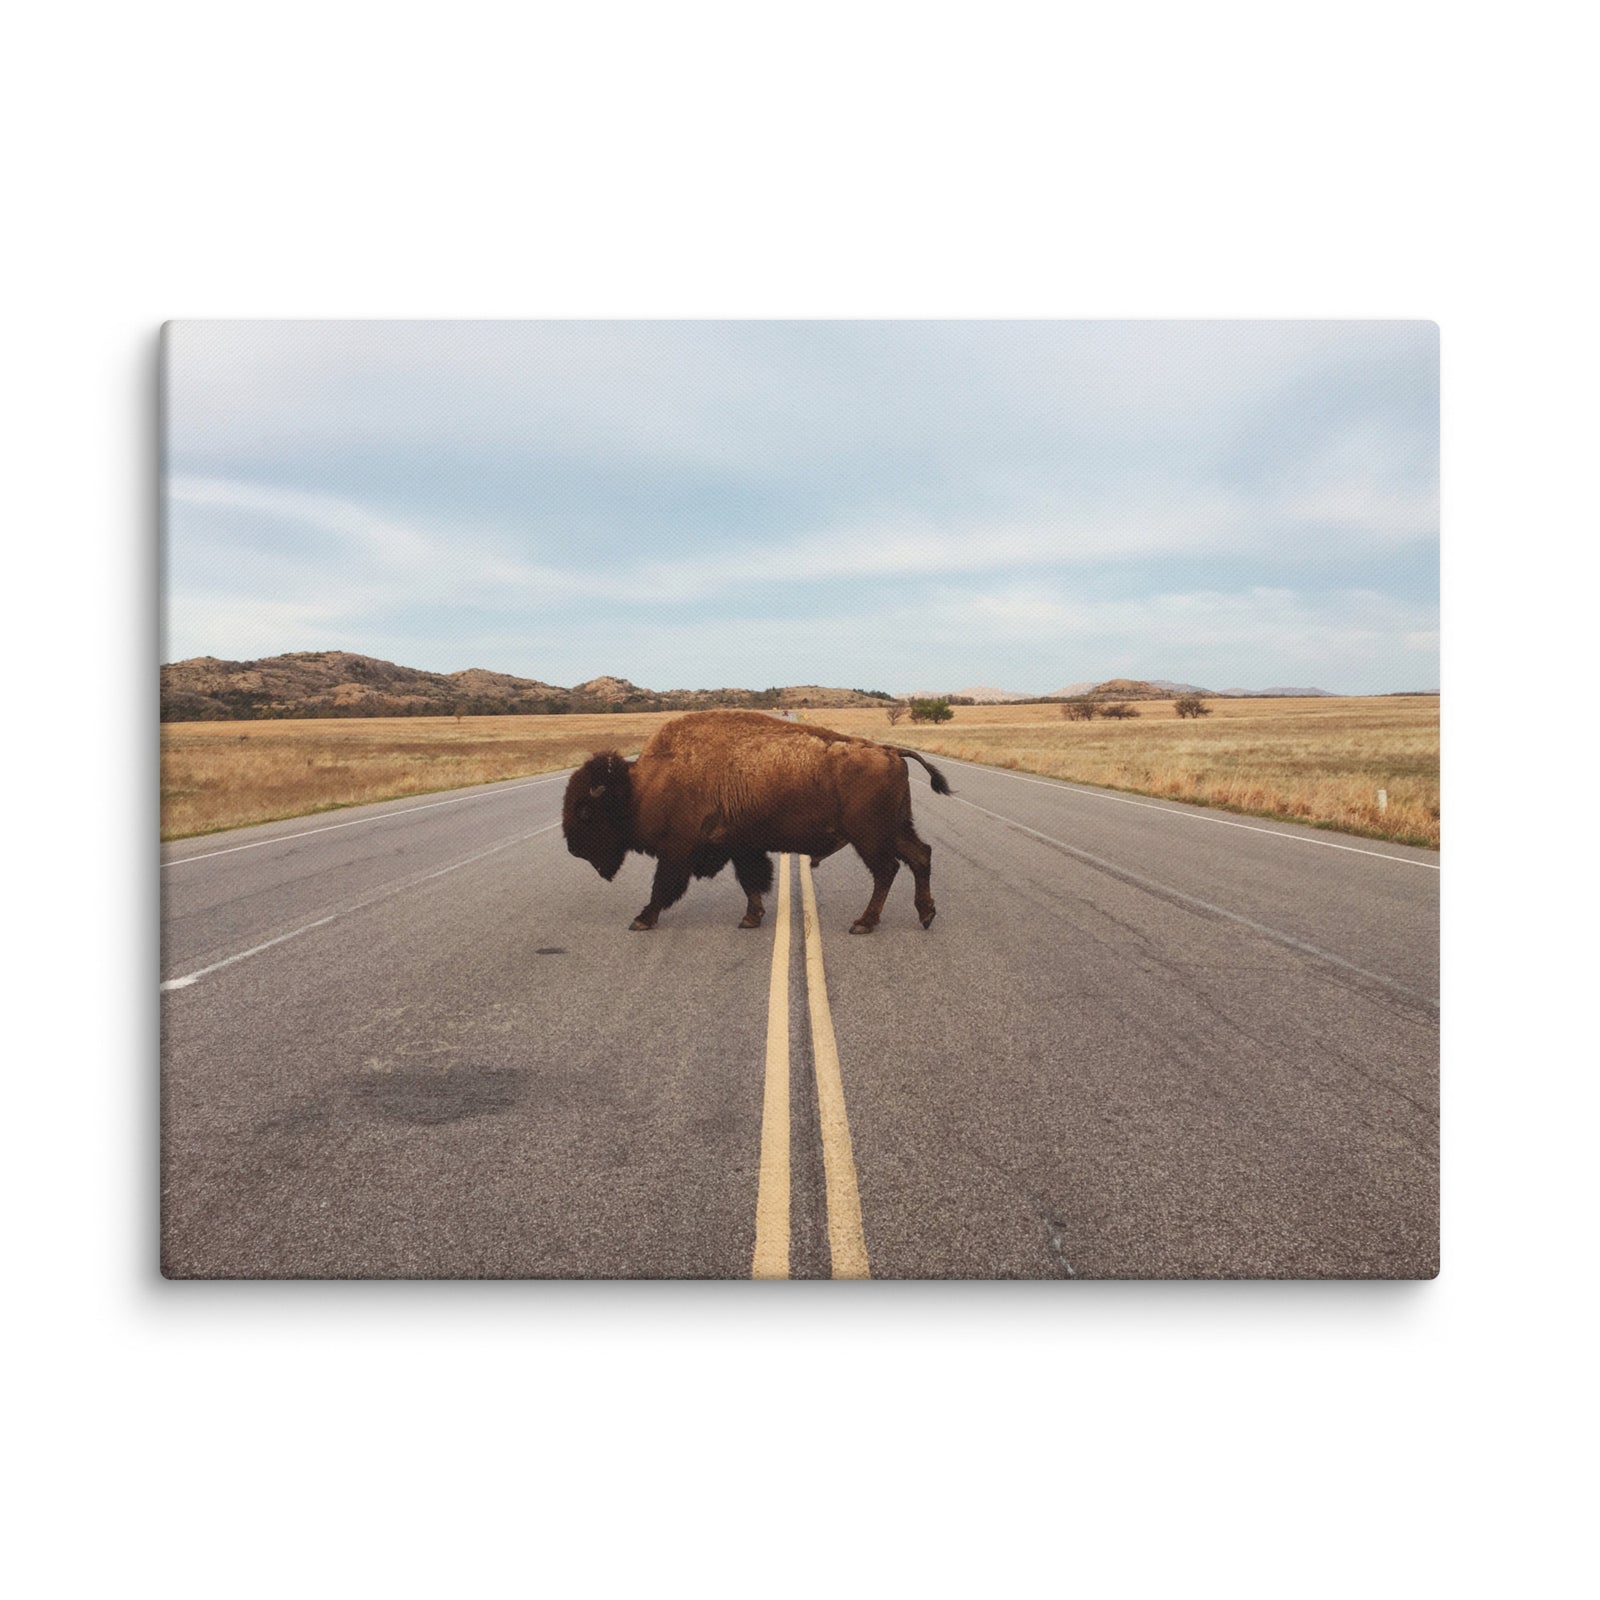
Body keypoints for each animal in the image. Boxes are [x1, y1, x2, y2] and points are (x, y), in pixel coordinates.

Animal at [561, 709, 952, 934]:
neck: (642, 785)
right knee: (920, 856)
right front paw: (751, 918)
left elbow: (662, 887)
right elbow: (750, 881)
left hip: (869, 836)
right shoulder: (739, 846)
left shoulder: (677, 851)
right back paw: (926, 915)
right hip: (895, 829)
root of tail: (890, 751)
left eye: (584, 811)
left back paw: (864, 923)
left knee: (887, 870)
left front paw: (641, 919)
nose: (573, 849)